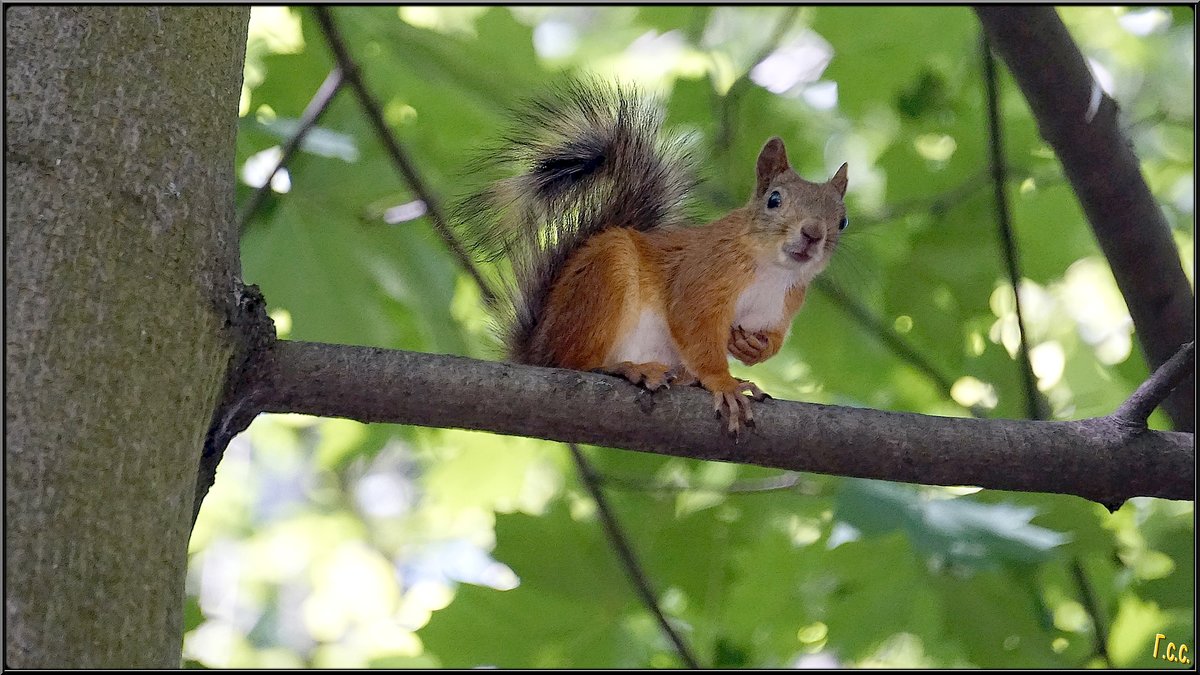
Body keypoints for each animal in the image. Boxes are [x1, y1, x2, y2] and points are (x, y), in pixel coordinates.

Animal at [456, 79, 844, 437]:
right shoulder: (702, 275)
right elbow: (694, 327)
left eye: (842, 221)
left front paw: (752, 348)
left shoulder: (782, 307)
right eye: (774, 200)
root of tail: (536, 352)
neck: (773, 272)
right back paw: (628, 368)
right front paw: (724, 382)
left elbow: (771, 340)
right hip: (603, 280)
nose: (813, 233)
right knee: (573, 363)